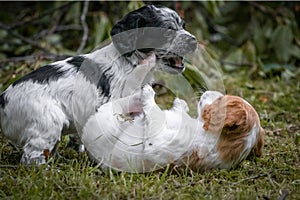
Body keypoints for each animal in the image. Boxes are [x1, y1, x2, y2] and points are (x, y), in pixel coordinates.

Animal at [0, 4, 197, 165]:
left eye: (183, 26)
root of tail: (3, 100)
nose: (194, 41)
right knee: (31, 156)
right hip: (47, 121)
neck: (130, 62)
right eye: (167, 31)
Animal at [82, 85, 264, 173]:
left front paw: (149, 96)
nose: (206, 91)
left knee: (116, 105)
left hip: (106, 122)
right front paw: (181, 104)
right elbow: (177, 111)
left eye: (220, 99)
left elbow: (154, 113)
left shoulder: (158, 143)